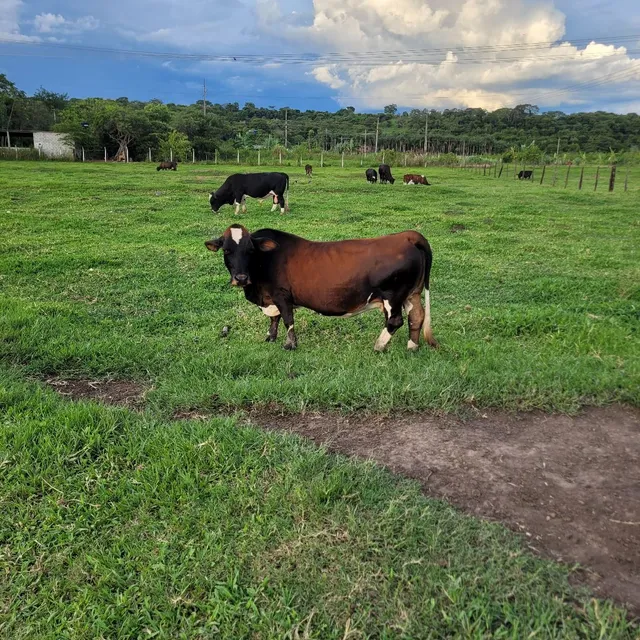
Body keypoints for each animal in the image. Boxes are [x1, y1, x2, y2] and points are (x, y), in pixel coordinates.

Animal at [205, 224, 437, 352]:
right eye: (226, 250)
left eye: (251, 250)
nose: (241, 278)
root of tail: (407, 236)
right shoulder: (270, 298)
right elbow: (274, 319)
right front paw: (270, 338)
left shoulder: (282, 295)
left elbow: (287, 319)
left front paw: (290, 345)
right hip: (412, 294)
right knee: (416, 317)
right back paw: (412, 347)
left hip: (393, 295)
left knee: (395, 321)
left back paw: (379, 346)